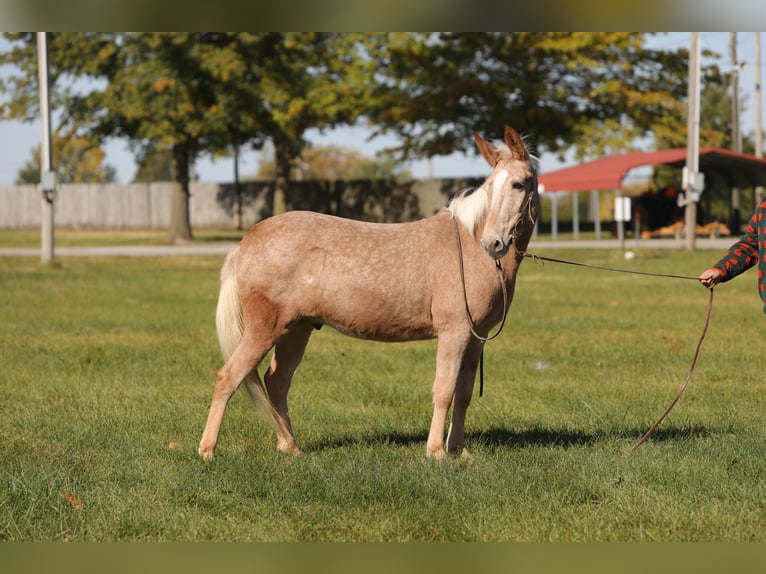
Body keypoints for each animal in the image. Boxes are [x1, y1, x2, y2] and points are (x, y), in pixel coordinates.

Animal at [201, 125, 544, 460]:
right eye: (490, 186)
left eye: (518, 185)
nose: (493, 243)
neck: (469, 246)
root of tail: (247, 241)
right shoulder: (455, 332)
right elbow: (444, 390)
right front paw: (436, 451)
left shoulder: (475, 337)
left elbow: (463, 393)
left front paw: (458, 449)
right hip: (264, 329)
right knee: (228, 377)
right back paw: (208, 450)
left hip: (296, 329)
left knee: (277, 382)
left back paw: (290, 446)